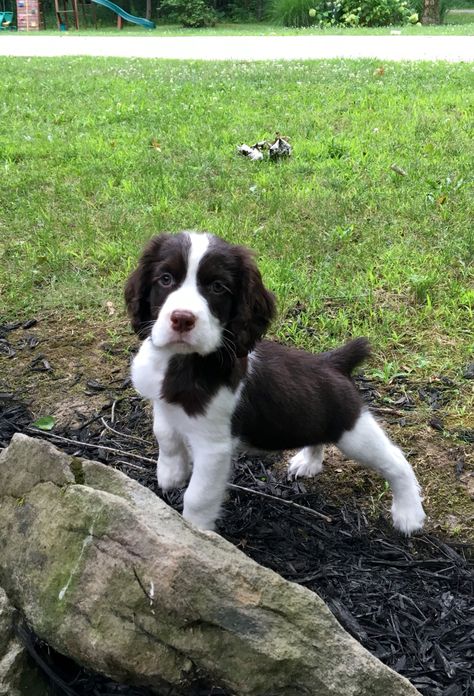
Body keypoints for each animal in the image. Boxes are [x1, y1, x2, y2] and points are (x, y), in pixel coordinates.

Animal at [125, 232, 426, 532]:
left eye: (218, 287)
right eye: (165, 279)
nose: (182, 319)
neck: (181, 361)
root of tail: (332, 363)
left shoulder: (214, 446)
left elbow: (198, 497)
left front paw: (195, 532)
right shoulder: (162, 402)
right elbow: (164, 432)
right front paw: (171, 473)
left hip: (351, 429)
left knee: (395, 460)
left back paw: (409, 513)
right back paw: (309, 461)